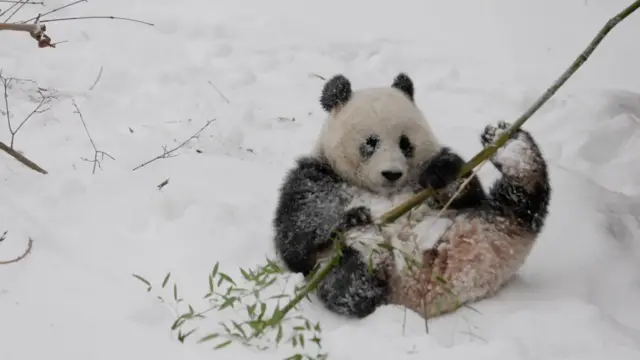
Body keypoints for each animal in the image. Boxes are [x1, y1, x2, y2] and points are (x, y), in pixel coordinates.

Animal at [272, 71, 552, 320]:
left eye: (405, 143)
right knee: (348, 288)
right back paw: (366, 255)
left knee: (521, 203)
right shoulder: (316, 176)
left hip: (483, 222)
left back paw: (514, 149)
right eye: (371, 142)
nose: (392, 173)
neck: (384, 191)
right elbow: (298, 234)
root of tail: (422, 289)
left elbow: (468, 192)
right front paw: (352, 218)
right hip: (335, 270)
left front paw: (442, 174)